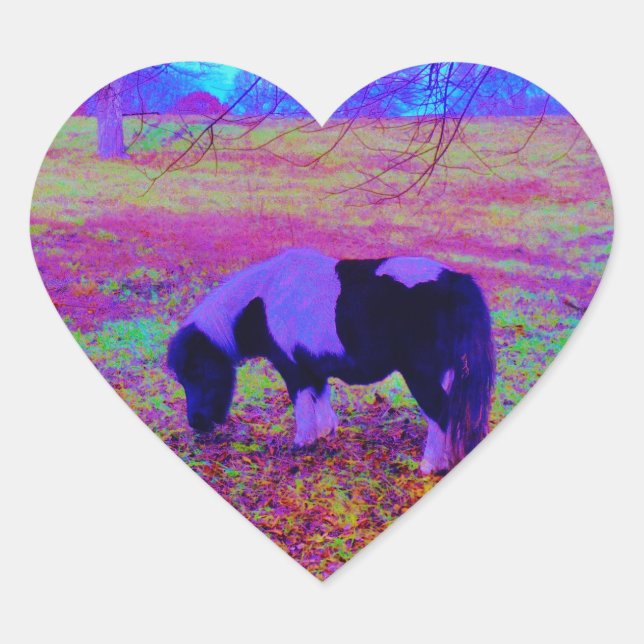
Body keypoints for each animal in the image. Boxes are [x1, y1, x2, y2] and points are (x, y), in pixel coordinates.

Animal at [168, 248, 495, 475]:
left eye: (196, 371)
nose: (196, 422)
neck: (267, 297)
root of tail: (455, 280)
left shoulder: (293, 369)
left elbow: (302, 403)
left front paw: (303, 441)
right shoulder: (314, 366)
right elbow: (321, 397)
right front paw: (326, 433)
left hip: (421, 375)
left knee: (440, 412)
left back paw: (430, 465)